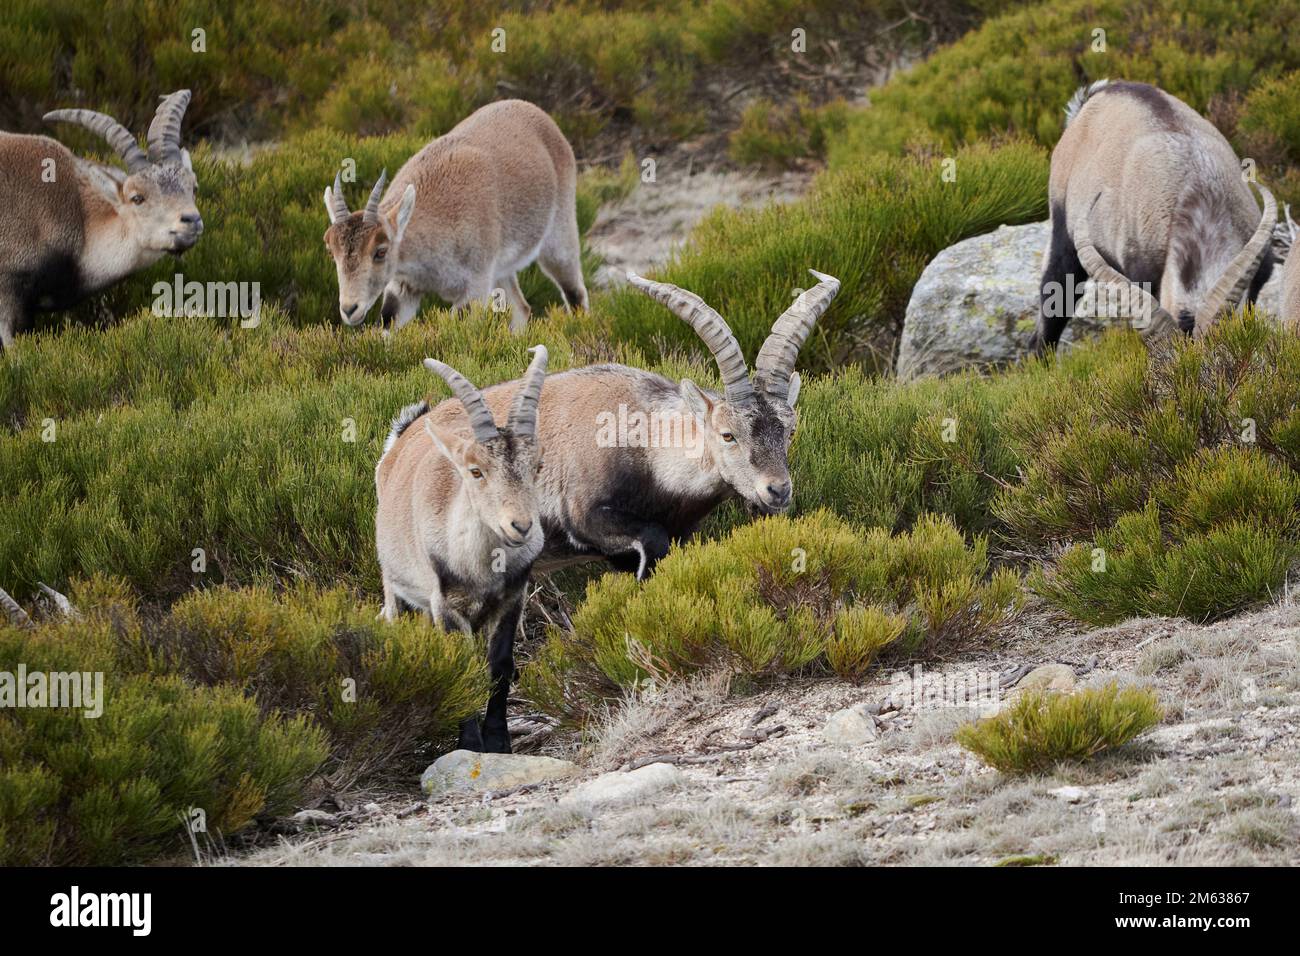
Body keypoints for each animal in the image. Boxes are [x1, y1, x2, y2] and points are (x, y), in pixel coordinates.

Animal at [323, 99, 587, 334]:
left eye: (380, 251)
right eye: (332, 251)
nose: (350, 309)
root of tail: (539, 114)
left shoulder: (475, 285)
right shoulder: (405, 286)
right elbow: (389, 318)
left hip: (559, 237)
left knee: (575, 293)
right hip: (501, 270)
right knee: (521, 307)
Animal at [375, 346, 548, 753]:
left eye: (537, 466)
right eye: (475, 471)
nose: (521, 526)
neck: (481, 568)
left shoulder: (511, 598)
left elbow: (500, 665)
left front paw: (498, 741)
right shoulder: (446, 605)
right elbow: (462, 665)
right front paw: (469, 742)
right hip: (395, 584)